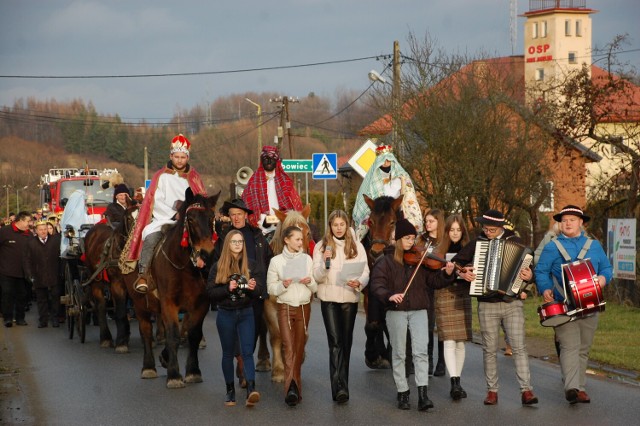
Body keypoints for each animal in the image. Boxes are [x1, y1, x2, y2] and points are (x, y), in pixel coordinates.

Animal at [262, 205, 312, 382]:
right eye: (287, 235)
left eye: (308, 232)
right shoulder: (269, 307)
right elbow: (277, 336)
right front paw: (279, 370)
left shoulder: (306, 305)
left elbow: (301, 334)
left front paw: (298, 358)